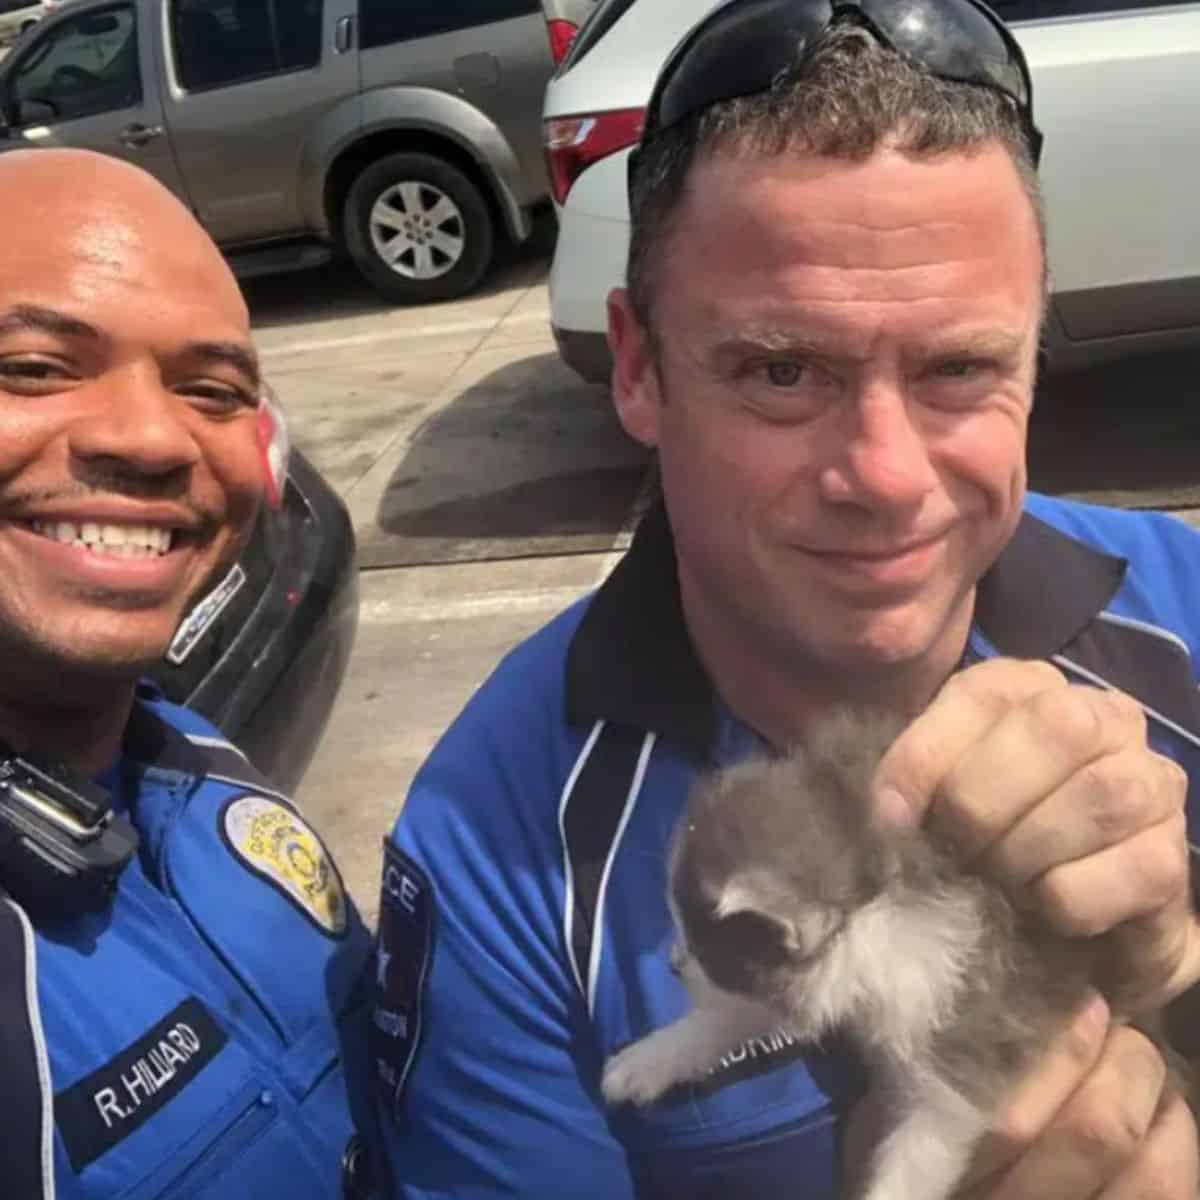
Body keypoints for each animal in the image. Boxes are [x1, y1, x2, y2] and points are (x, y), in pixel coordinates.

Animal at [600, 710, 1104, 1200]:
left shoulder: (970, 1021)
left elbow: (926, 1145)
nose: (674, 964)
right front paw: (651, 1058)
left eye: (706, 952)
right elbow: (740, 1012)